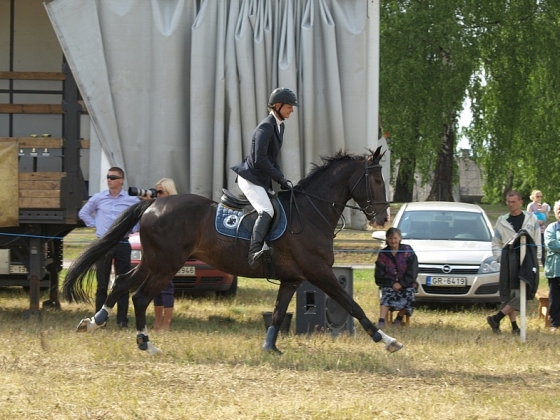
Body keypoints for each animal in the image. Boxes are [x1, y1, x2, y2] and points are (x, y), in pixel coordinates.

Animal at [64, 148, 402, 354]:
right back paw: (146, 343)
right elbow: (352, 306)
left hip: (153, 261)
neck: (310, 212)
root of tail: (154, 203)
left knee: (122, 282)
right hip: (165, 265)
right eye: (375, 179)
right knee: (140, 297)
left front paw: (270, 348)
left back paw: (93, 322)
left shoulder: (292, 279)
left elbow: (278, 313)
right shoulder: (320, 273)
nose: (382, 218)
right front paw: (386, 340)